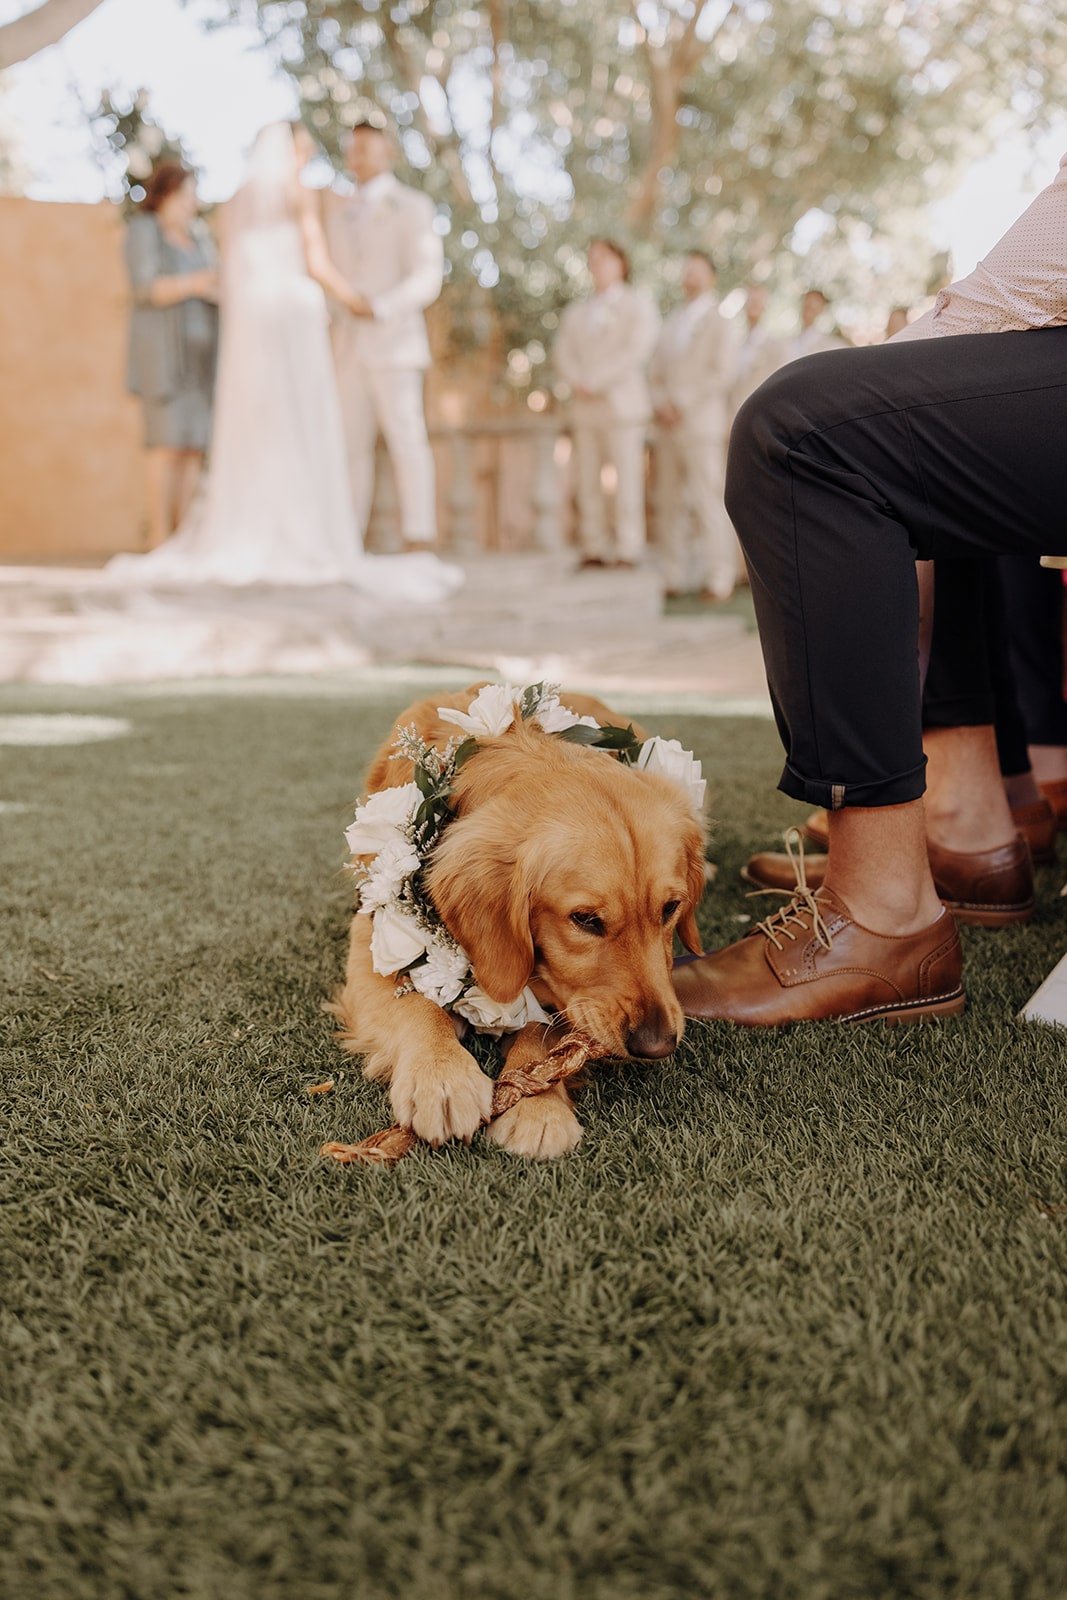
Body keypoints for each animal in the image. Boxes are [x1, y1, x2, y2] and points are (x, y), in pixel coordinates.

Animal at [329, 681, 703, 1158]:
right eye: (585, 919)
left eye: (671, 909)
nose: (656, 1045)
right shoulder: (371, 942)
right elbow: (413, 1004)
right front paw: (441, 1076)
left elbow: (540, 1030)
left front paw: (538, 1108)